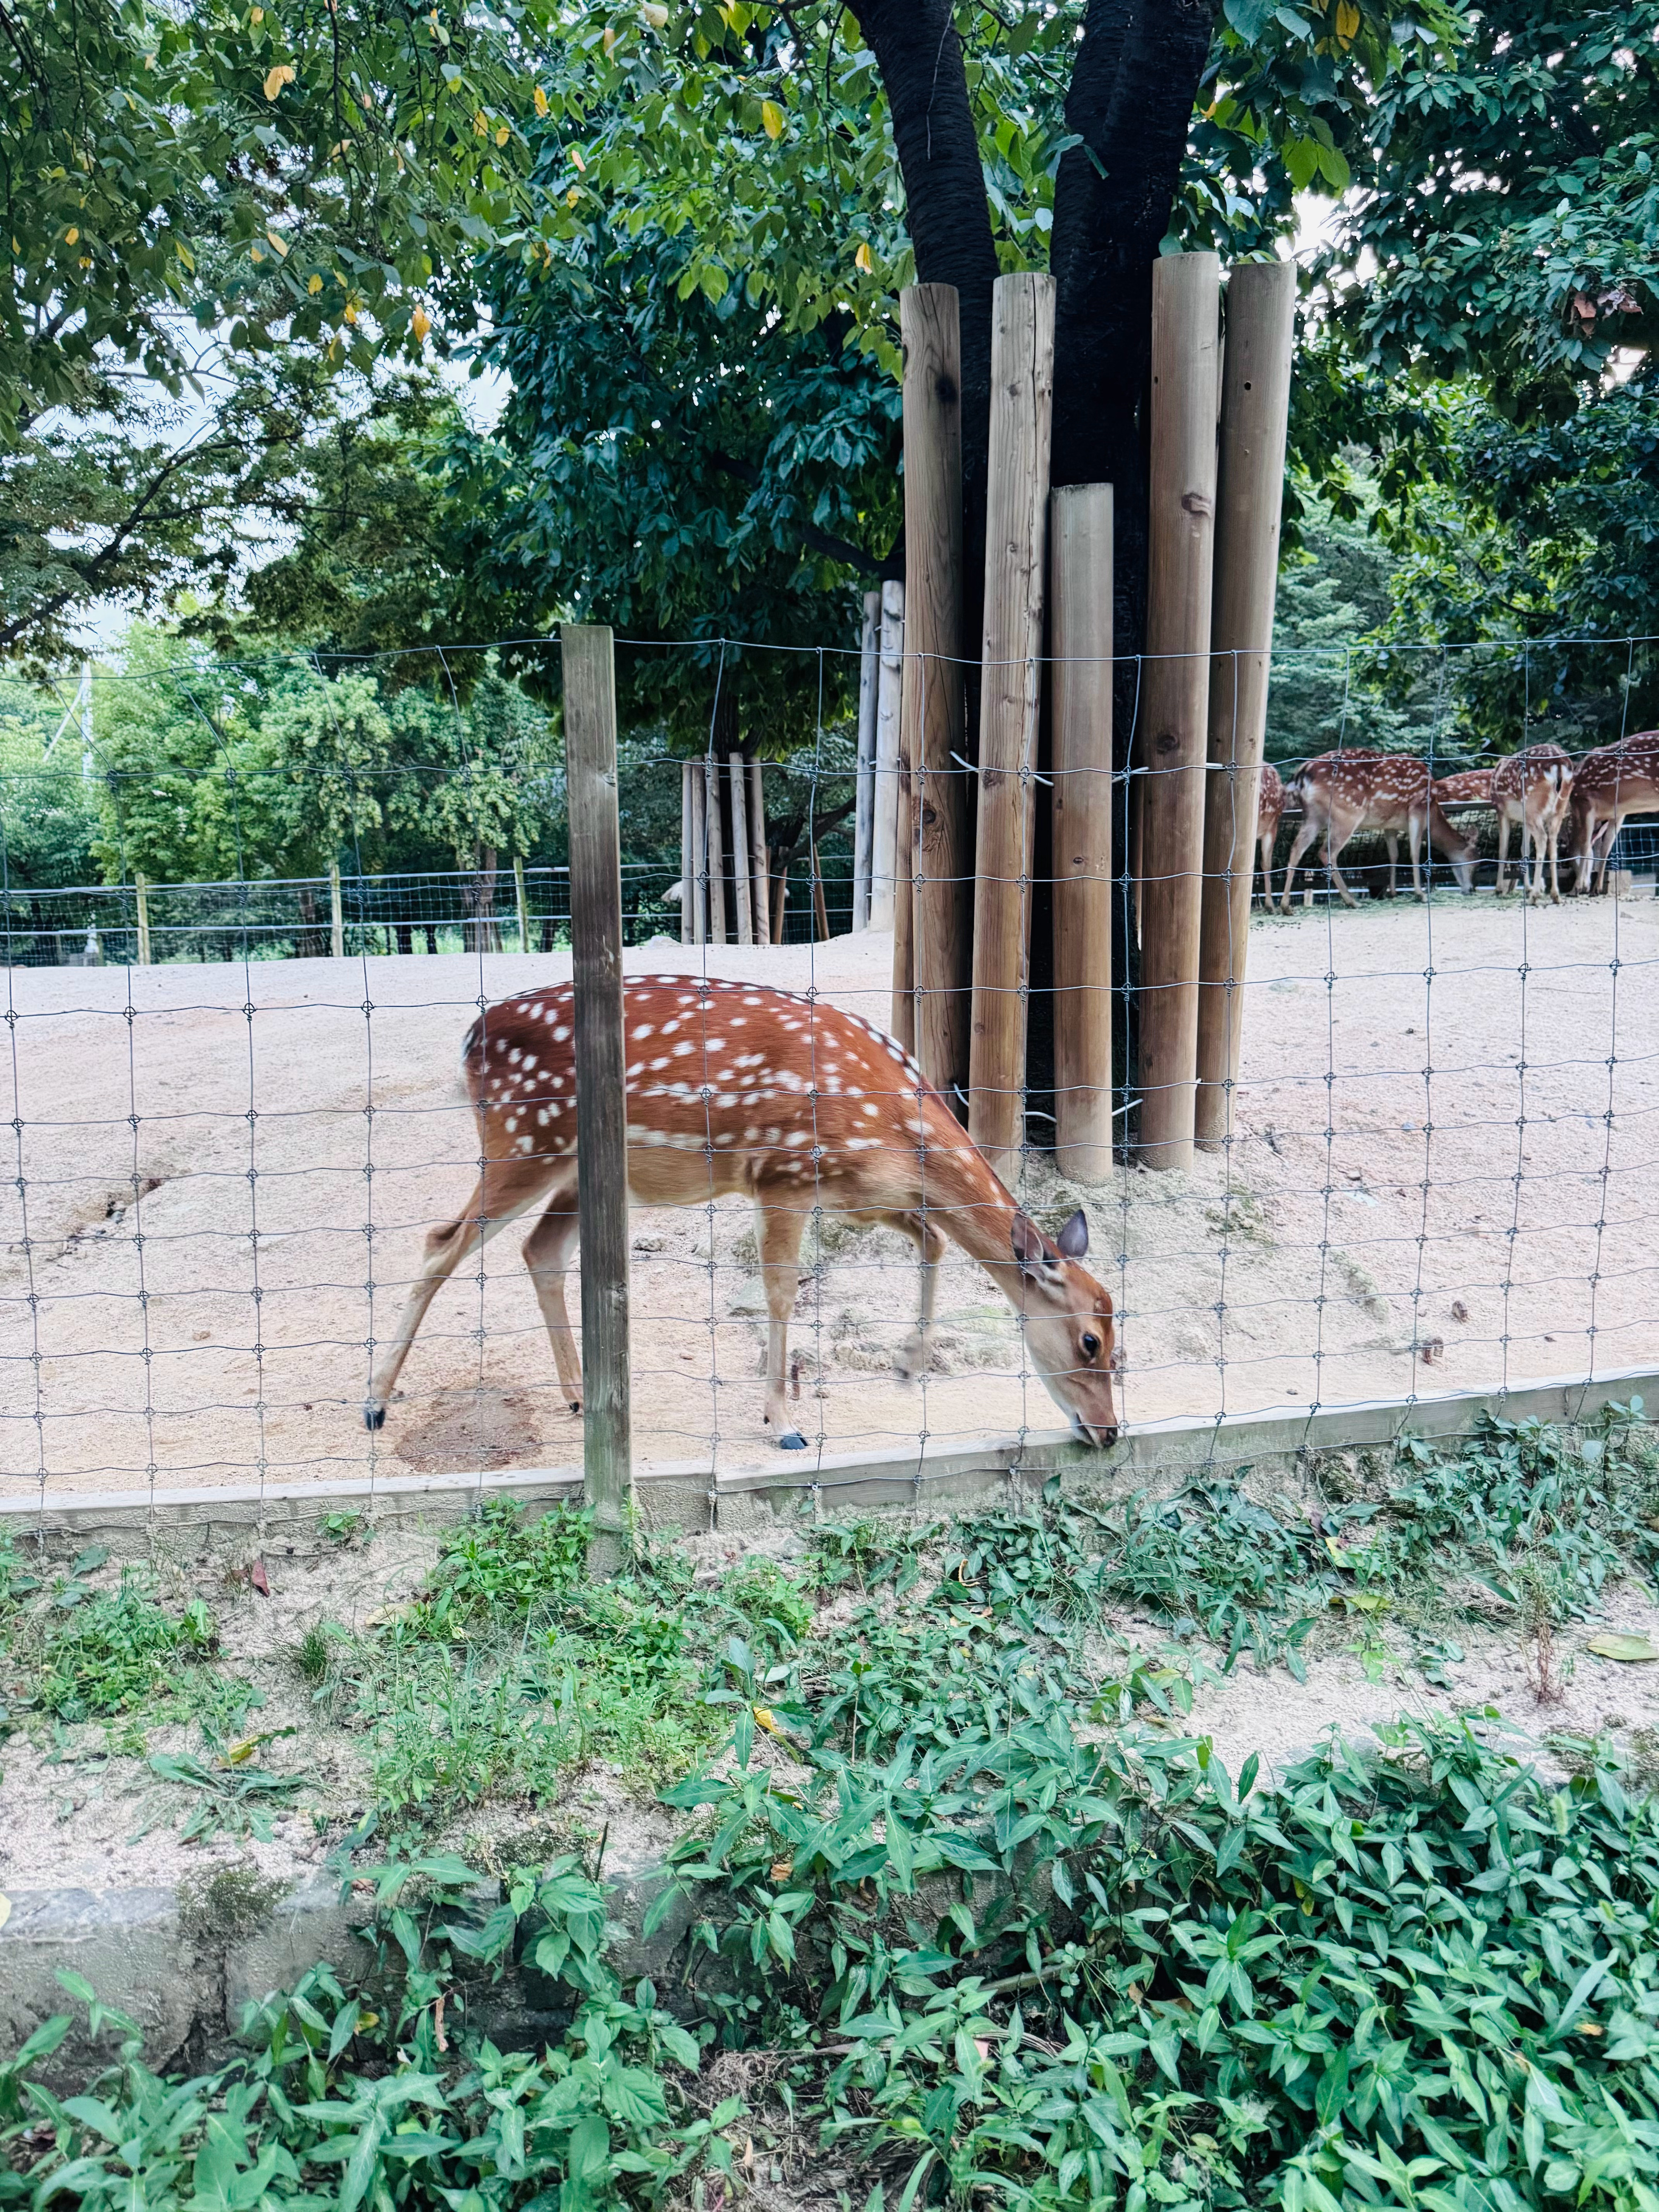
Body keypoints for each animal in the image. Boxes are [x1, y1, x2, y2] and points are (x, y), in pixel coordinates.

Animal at [363, 977, 1121, 1453]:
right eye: (1090, 1341)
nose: (1110, 1431)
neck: (899, 1133)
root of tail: (469, 1038)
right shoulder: (783, 1175)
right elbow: (782, 1291)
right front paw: (782, 1421)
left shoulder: (864, 1196)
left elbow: (932, 1241)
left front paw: (908, 1367)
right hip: (523, 1141)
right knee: (441, 1241)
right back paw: (374, 1403)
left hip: (577, 1170)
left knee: (538, 1249)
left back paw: (579, 1398)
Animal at [1278, 751, 1479, 910]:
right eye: (1475, 860)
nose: (1471, 889)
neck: (1434, 812)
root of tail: (1302, 774)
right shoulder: (1418, 807)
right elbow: (1415, 853)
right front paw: (1420, 894)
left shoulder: (1390, 826)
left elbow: (1394, 855)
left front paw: (1393, 892)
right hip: (1348, 812)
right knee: (1327, 852)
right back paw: (1352, 901)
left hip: (1312, 816)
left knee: (1297, 848)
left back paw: (1286, 905)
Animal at [1491, 743, 1574, 902]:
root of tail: (1559, 766)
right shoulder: (1524, 819)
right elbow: (1525, 849)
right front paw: (1528, 888)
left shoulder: (1501, 810)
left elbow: (1503, 850)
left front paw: (1499, 889)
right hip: (1558, 810)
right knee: (1553, 843)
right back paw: (1555, 895)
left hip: (1533, 805)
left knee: (1542, 839)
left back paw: (1535, 896)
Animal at [1567, 732, 1659, 894]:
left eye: (1571, 861)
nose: (1577, 887)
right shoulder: (1618, 813)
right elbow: (1606, 848)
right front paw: (1596, 889)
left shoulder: (1584, 800)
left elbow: (1585, 846)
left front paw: (1579, 887)